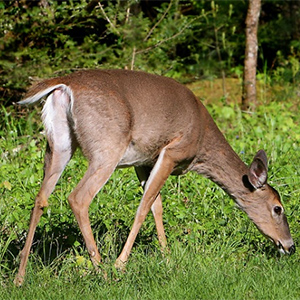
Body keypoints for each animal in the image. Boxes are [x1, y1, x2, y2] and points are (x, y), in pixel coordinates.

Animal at [13, 69, 292, 286]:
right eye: (278, 208)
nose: (289, 245)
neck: (202, 146)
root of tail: (64, 85)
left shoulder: (144, 161)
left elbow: (157, 206)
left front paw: (167, 259)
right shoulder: (172, 152)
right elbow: (144, 206)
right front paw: (121, 265)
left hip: (58, 144)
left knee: (40, 198)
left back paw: (20, 277)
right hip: (106, 147)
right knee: (78, 197)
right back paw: (102, 272)